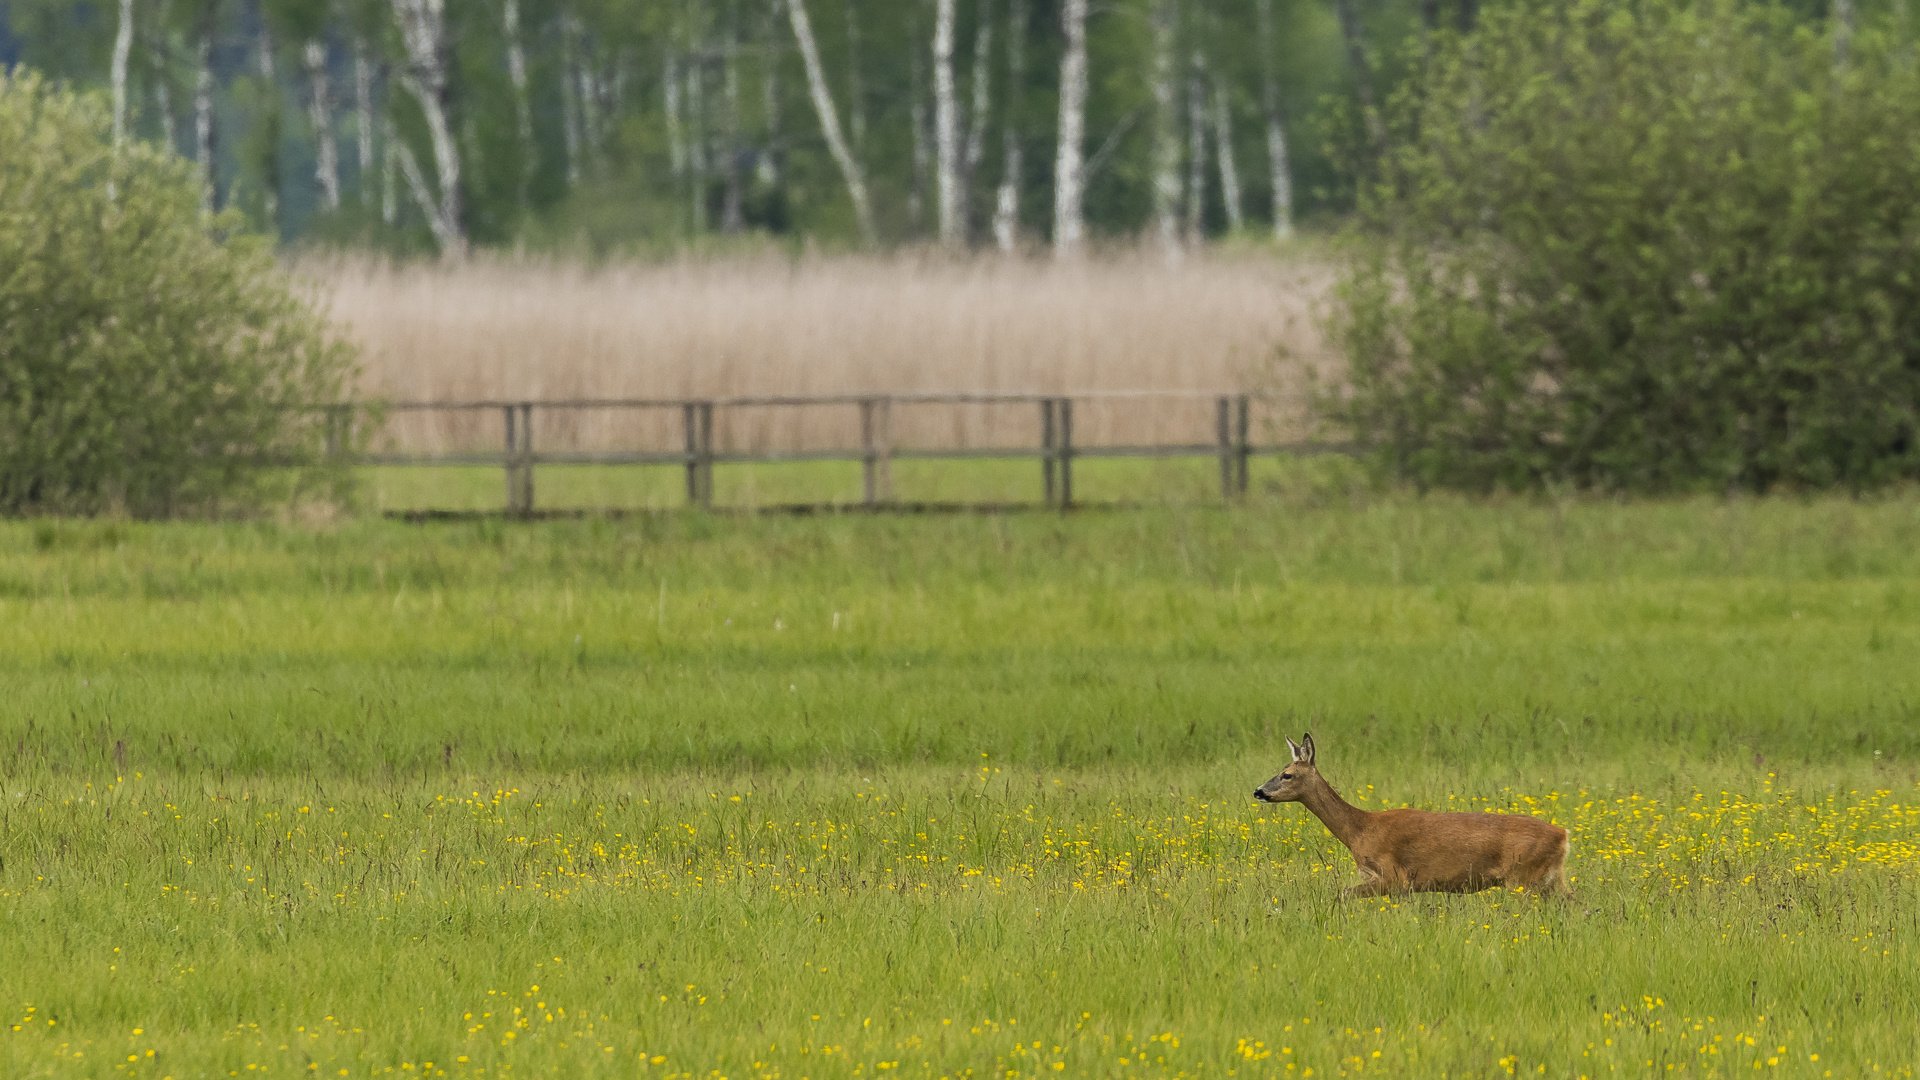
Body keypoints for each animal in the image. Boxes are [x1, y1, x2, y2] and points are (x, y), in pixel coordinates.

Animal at [1251, 730, 1566, 899]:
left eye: (1287, 774)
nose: (1258, 791)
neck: (1359, 829)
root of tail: (1564, 835)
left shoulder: (1393, 876)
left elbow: (1344, 894)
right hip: (1550, 879)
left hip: (1522, 876)